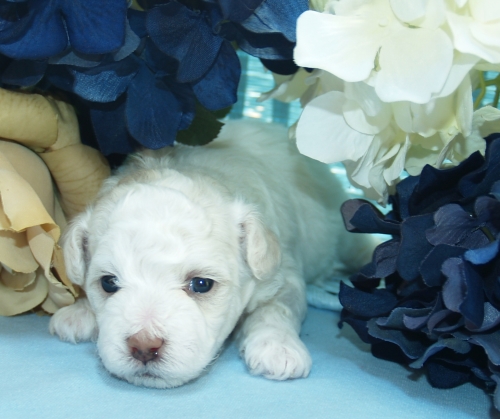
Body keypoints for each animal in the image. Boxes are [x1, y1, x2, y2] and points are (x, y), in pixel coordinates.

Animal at [49, 120, 376, 388]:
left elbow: (276, 309)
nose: (143, 347)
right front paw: (80, 312)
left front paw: (277, 347)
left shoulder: (282, 276)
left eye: (201, 285)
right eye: (108, 283)